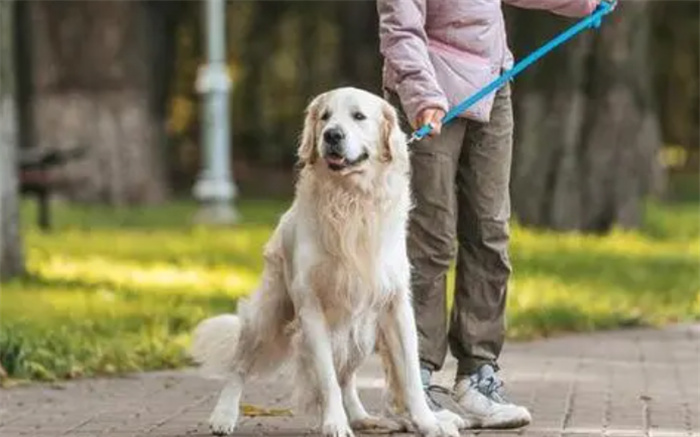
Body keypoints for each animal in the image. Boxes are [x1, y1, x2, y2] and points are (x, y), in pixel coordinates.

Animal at [189, 87, 468, 434]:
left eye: (358, 116)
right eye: (324, 117)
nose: (332, 135)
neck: (350, 199)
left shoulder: (396, 305)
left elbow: (411, 376)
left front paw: (429, 423)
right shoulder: (311, 308)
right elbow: (327, 379)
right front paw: (334, 422)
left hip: (363, 331)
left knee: (348, 376)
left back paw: (363, 418)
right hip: (268, 313)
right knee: (240, 366)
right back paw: (224, 415)